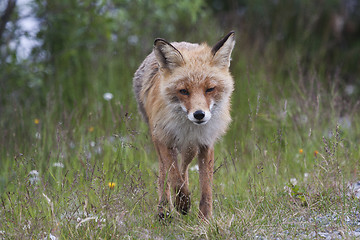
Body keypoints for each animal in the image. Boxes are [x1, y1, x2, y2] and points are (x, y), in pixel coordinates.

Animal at [134, 31, 235, 219]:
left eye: (210, 89)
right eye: (183, 91)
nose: (199, 114)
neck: (188, 128)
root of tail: (179, 42)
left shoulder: (205, 143)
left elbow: (206, 188)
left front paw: (205, 219)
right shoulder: (164, 138)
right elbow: (174, 179)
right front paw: (182, 204)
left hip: (190, 148)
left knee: (184, 167)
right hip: (159, 139)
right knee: (164, 173)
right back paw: (164, 210)